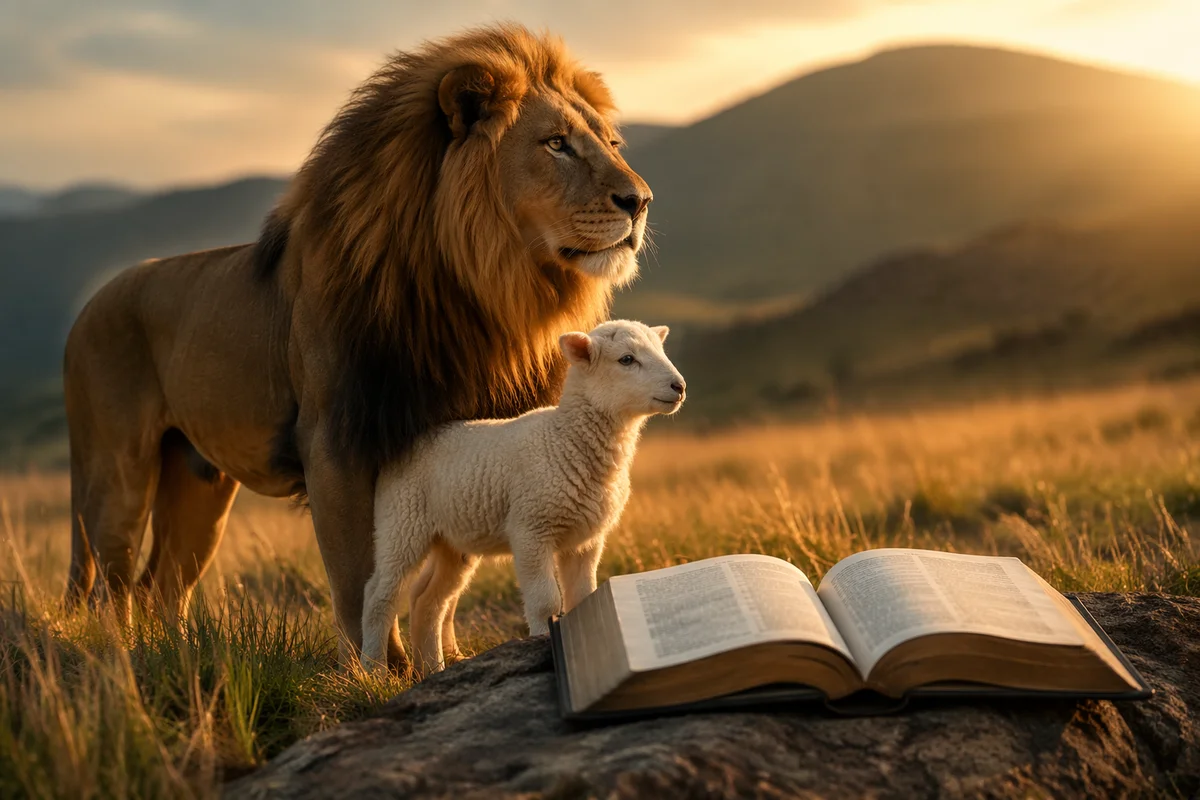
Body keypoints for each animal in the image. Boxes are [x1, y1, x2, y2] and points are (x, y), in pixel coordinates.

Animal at [62, 23, 652, 667]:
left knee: (161, 585)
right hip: (115, 471)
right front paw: (378, 671)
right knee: (114, 583)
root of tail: (86, 308)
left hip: (198, 483)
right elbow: (358, 576)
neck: (469, 290)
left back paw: (179, 659)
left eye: (611, 142)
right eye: (556, 144)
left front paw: (444, 657)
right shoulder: (335, 442)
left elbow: (443, 587)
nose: (641, 200)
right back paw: (124, 660)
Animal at [361, 319, 686, 674]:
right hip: (401, 521)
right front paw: (542, 643)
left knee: (427, 599)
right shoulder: (531, 528)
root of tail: (399, 448)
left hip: (451, 540)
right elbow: (546, 601)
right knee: (379, 594)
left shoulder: (585, 540)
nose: (679, 386)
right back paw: (373, 669)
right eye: (626, 359)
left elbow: (581, 596)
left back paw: (432, 668)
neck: (566, 439)